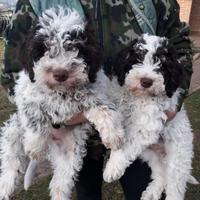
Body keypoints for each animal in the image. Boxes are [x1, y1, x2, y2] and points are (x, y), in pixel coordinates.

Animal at [104, 34, 198, 200]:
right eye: (137, 59)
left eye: (161, 64)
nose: (146, 81)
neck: (140, 97)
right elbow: (118, 138)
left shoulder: (148, 126)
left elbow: (127, 144)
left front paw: (112, 168)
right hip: (150, 155)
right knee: (160, 174)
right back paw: (152, 192)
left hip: (178, 157)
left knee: (175, 186)